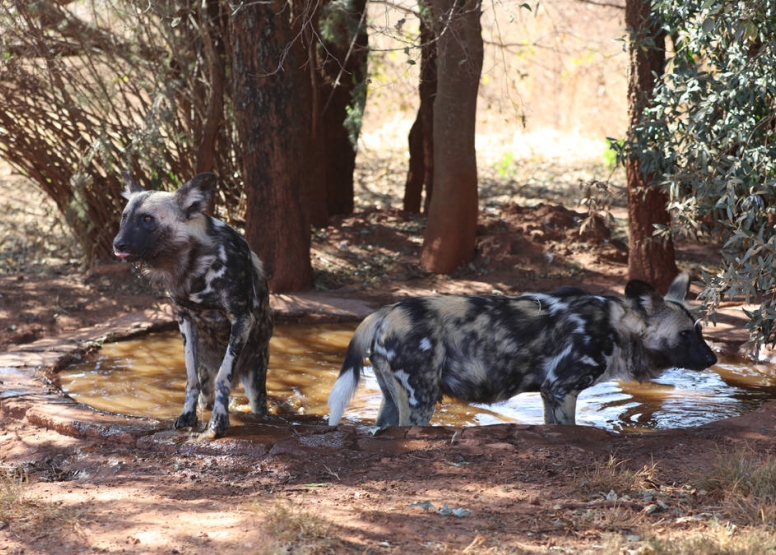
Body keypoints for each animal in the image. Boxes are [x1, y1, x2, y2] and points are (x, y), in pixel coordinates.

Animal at [113, 174, 272, 438]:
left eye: (147, 219)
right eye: (124, 217)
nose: (118, 244)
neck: (194, 264)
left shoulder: (241, 319)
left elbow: (223, 377)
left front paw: (218, 422)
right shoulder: (185, 319)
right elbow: (190, 378)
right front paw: (188, 415)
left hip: (256, 381)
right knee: (206, 391)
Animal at [326, 276, 716, 428]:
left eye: (700, 331)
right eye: (684, 335)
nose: (713, 359)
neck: (615, 327)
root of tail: (387, 310)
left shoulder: (548, 393)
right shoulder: (562, 389)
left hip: (393, 401)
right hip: (421, 399)